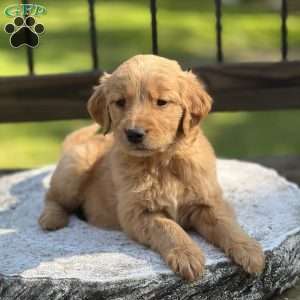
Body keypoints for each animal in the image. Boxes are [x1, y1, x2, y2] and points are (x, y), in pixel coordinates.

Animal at [39, 54, 264, 282]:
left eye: (161, 102)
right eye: (120, 102)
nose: (134, 133)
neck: (163, 161)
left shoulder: (207, 200)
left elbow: (225, 223)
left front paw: (249, 250)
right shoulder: (136, 213)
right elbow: (168, 227)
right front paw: (186, 254)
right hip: (75, 167)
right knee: (52, 196)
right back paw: (51, 218)